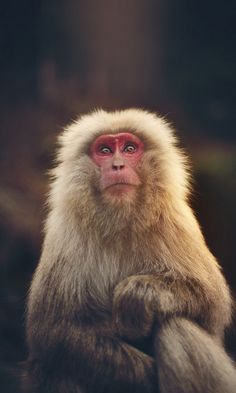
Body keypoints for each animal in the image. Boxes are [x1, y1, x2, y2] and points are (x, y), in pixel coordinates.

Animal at [24, 108, 236, 392]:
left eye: (129, 148)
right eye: (104, 150)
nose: (117, 166)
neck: (120, 219)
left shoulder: (176, 221)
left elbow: (213, 305)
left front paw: (139, 294)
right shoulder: (65, 231)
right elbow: (56, 332)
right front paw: (145, 377)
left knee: (176, 326)